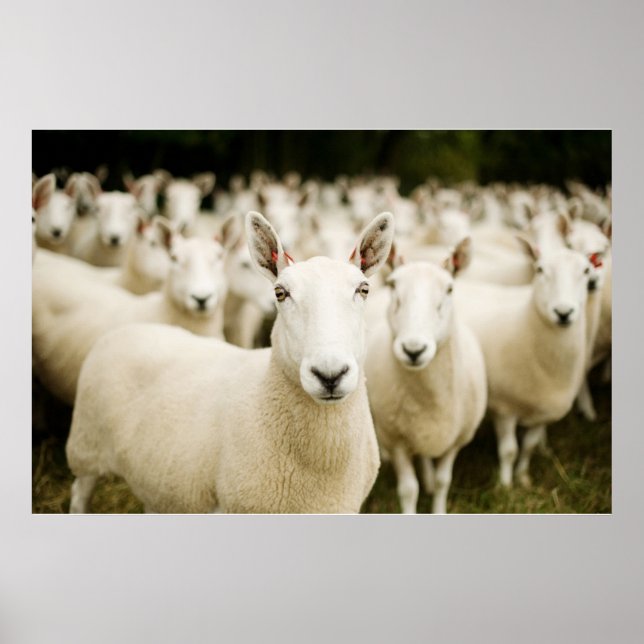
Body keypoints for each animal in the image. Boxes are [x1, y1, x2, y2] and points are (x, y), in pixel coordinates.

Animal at [65, 211, 395, 513]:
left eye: (364, 289)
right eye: (280, 292)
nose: (330, 374)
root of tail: (129, 329)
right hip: (85, 447)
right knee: (79, 494)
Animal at [364, 238, 487, 513]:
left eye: (450, 289)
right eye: (393, 285)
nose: (414, 350)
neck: (430, 397)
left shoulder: (456, 439)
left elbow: (443, 482)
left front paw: (437, 501)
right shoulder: (396, 439)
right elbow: (409, 490)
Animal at [453, 241, 592, 487]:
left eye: (586, 271)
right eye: (540, 270)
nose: (563, 313)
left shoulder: (543, 411)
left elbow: (528, 446)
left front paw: (523, 478)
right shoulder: (504, 408)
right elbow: (509, 451)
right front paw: (505, 485)